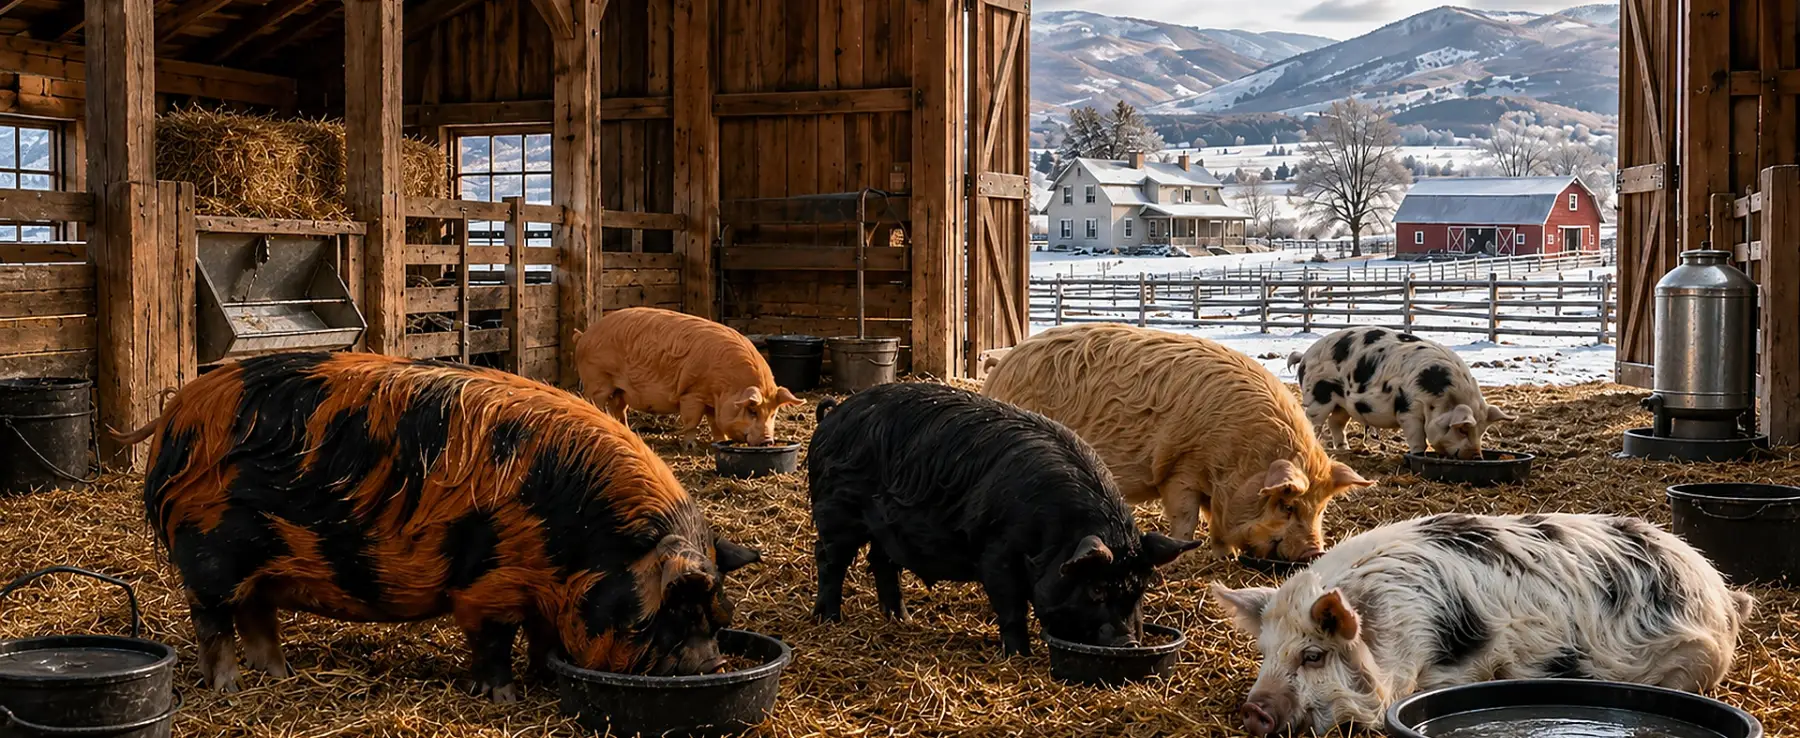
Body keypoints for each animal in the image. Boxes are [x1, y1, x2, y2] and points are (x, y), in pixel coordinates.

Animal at [116, 351, 762, 702]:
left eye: (722, 614)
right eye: (675, 609)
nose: (713, 667)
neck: (580, 538)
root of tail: (178, 412)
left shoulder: (546, 593)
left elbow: (545, 639)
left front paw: (544, 679)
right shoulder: (488, 585)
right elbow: (494, 640)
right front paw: (503, 696)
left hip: (260, 564)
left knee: (257, 615)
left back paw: (280, 673)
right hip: (210, 551)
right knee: (212, 619)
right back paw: (229, 686)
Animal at [574, 307, 803, 447]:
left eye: (773, 413)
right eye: (752, 411)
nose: (768, 442)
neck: (725, 386)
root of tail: (584, 335)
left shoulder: (712, 402)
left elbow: (715, 423)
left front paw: (720, 440)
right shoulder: (692, 394)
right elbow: (692, 420)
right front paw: (690, 446)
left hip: (620, 390)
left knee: (619, 411)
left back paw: (628, 432)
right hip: (598, 380)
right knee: (593, 403)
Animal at [808, 382, 1201, 655]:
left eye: (1140, 589)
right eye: (1096, 589)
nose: (1128, 645)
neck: (1056, 534)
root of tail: (835, 415)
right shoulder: (996, 552)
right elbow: (1011, 607)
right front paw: (1019, 655)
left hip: (884, 528)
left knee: (882, 562)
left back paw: (902, 619)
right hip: (836, 511)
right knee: (828, 558)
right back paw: (828, 619)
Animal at [983, 324, 1375, 562]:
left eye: (1320, 508)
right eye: (1287, 505)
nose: (1314, 553)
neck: (1240, 457)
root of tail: (1002, 368)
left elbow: (1213, 520)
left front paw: (1227, 555)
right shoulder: (1180, 469)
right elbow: (1186, 518)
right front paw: (1184, 554)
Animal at [1287, 327, 1512, 459]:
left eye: (1481, 431)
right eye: (1463, 429)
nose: (1477, 456)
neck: (1439, 399)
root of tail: (1305, 355)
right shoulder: (1408, 410)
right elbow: (1417, 436)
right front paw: (1418, 454)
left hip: (1342, 402)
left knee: (1336, 422)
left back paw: (1345, 449)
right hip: (1318, 396)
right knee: (1313, 421)